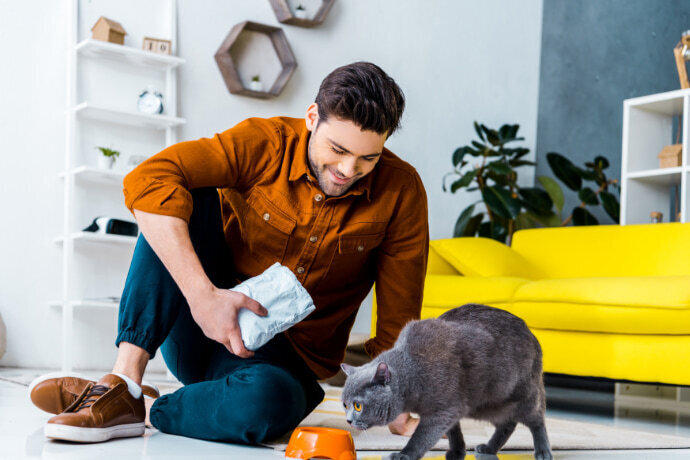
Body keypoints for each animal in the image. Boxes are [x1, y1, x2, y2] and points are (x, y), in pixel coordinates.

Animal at [342, 304, 552, 460]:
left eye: (358, 405)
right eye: (344, 405)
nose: (348, 420)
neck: (414, 372)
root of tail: (532, 334)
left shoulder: (443, 410)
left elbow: (422, 436)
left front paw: (404, 454)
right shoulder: (452, 409)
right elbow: (453, 431)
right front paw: (458, 452)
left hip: (521, 394)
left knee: (537, 420)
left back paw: (543, 451)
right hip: (490, 406)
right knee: (508, 424)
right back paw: (489, 448)